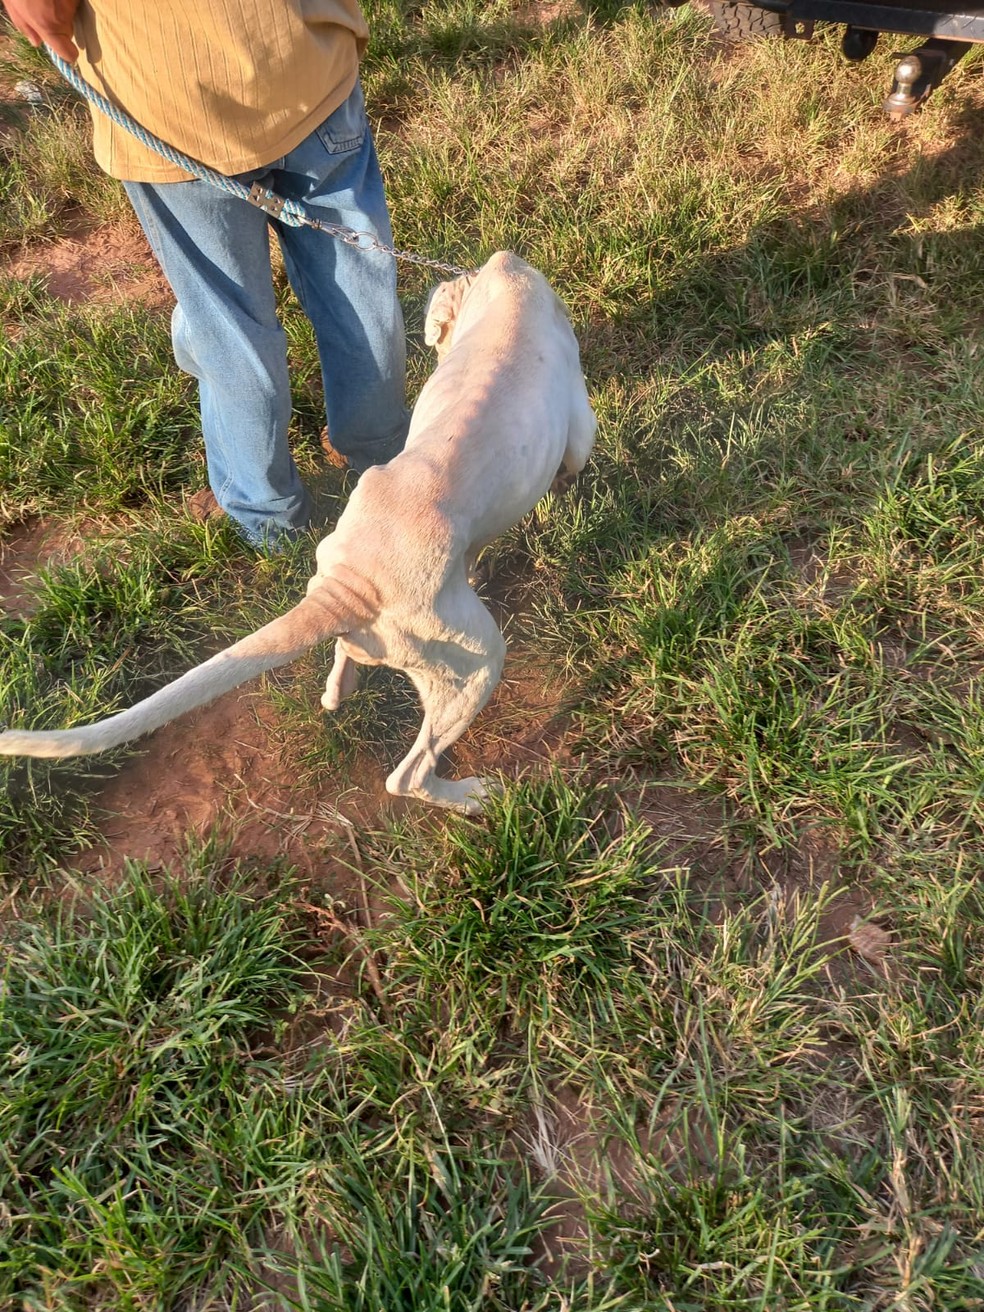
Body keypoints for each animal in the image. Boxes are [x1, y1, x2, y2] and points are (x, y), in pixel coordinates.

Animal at [0, 250, 598, 808]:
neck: (504, 292)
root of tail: (351, 589)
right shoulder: (579, 423)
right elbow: (576, 457)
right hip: (476, 664)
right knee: (408, 773)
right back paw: (474, 796)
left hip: (350, 590)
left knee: (345, 656)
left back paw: (339, 690)